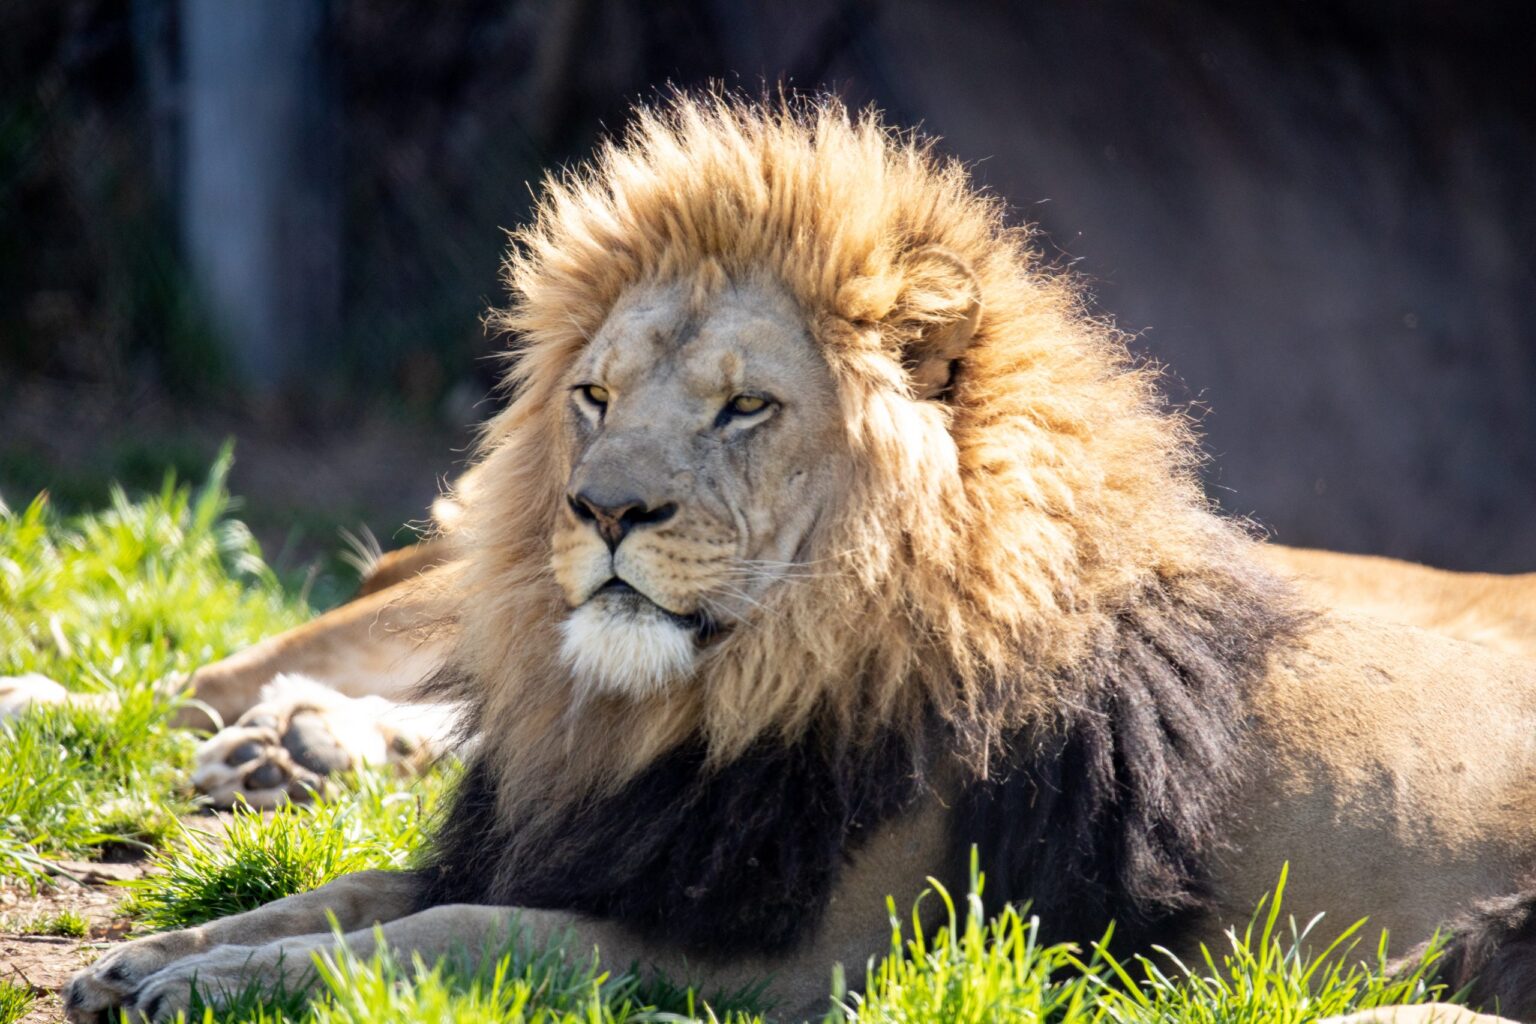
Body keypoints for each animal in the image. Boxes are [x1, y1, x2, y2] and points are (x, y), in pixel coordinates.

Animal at [53, 95, 1536, 1023]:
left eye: (743, 408)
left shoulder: (817, 955)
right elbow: (337, 893)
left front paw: (212, 985)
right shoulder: (593, 843)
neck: (699, 702)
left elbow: (454, 936)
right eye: (593, 397)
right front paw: (157, 956)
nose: (601, 510)